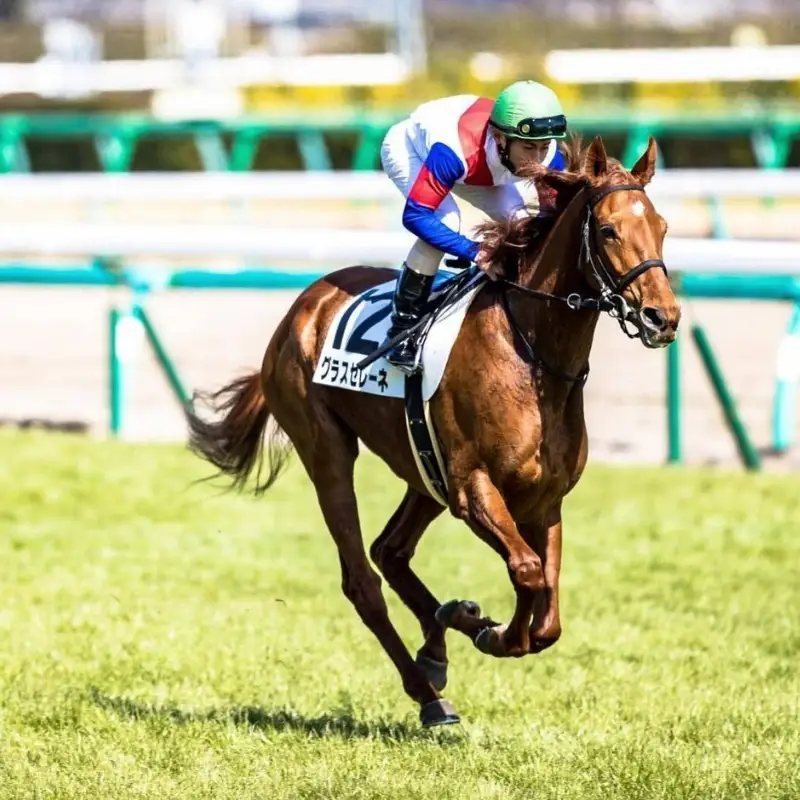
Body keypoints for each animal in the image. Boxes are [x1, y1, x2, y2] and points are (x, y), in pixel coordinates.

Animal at [185, 135, 681, 728]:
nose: (662, 317)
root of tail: (301, 308)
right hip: (329, 452)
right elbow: (527, 572)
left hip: (422, 469)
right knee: (363, 579)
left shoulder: (545, 500)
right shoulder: (473, 488)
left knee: (390, 551)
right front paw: (493, 634)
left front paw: (475, 622)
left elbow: (548, 617)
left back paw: (442, 636)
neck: (531, 354)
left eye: (662, 226)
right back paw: (428, 691)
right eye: (607, 230)